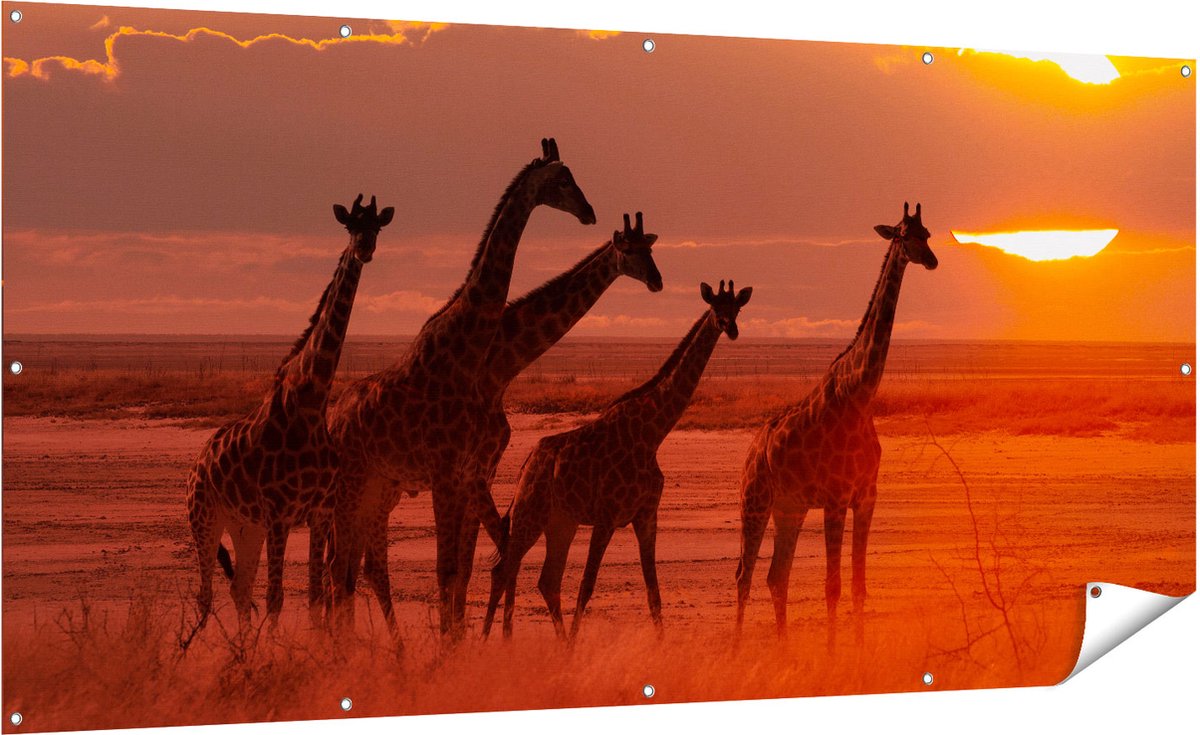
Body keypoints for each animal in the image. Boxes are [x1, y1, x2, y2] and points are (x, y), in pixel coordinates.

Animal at [186, 194, 393, 630]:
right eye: (350, 225)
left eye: (377, 227)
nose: (364, 249)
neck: (311, 401)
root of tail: (197, 463)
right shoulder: (280, 514)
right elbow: (276, 598)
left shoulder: (318, 513)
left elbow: (314, 597)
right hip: (204, 519)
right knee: (206, 595)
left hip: (245, 526)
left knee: (239, 590)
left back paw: (243, 646)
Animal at [327, 139, 596, 638]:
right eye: (562, 179)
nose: (589, 212)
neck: (468, 353)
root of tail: (331, 419)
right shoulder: (447, 473)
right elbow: (448, 569)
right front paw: (450, 647)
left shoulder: (468, 472)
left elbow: (462, 570)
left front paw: (458, 643)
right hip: (351, 483)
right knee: (339, 565)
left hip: (375, 485)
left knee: (350, 565)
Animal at [482, 279, 753, 640]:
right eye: (715, 307)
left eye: (737, 308)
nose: (730, 328)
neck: (652, 434)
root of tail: (526, 465)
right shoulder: (607, 516)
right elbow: (586, 586)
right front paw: (575, 646)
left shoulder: (646, 515)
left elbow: (653, 592)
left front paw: (660, 644)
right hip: (531, 514)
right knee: (503, 571)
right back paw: (487, 641)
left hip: (561, 522)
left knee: (546, 580)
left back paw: (555, 641)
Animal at [735, 202, 937, 649]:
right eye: (903, 235)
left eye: (928, 233)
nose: (932, 260)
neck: (861, 395)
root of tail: (752, 449)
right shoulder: (835, 498)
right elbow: (833, 586)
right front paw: (831, 654)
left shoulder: (866, 497)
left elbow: (859, 585)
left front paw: (857, 651)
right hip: (754, 501)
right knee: (744, 575)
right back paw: (737, 651)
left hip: (788, 509)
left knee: (777, 576)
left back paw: (785, 650)